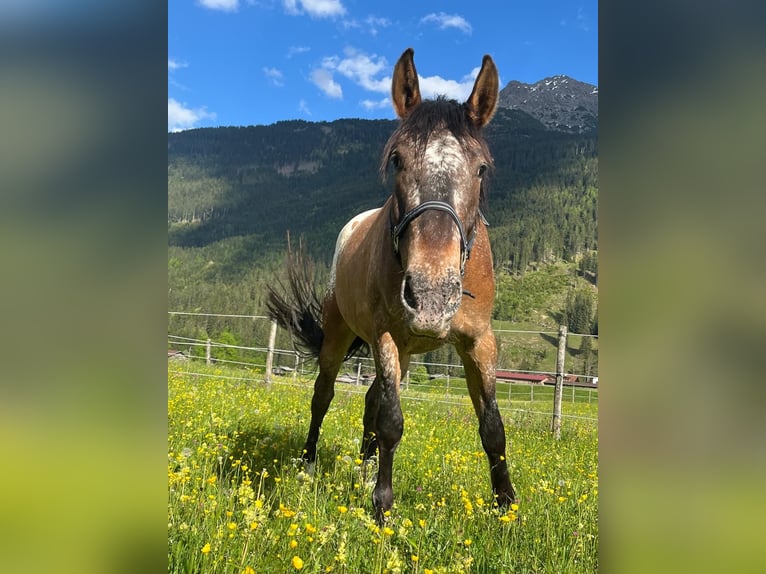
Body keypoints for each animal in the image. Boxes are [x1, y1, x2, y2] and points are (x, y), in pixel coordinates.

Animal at [267, 48, 516, 522]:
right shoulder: (385, 334)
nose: (432, 297)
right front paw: (382, 506)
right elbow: (391, 422)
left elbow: (492, 426)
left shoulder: (479, 341)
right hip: (342, 339)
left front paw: (506, 507)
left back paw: (362, 471)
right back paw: (308, 462)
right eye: (398, 160)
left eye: (480, 169)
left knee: (370, 400)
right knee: (323, 395)